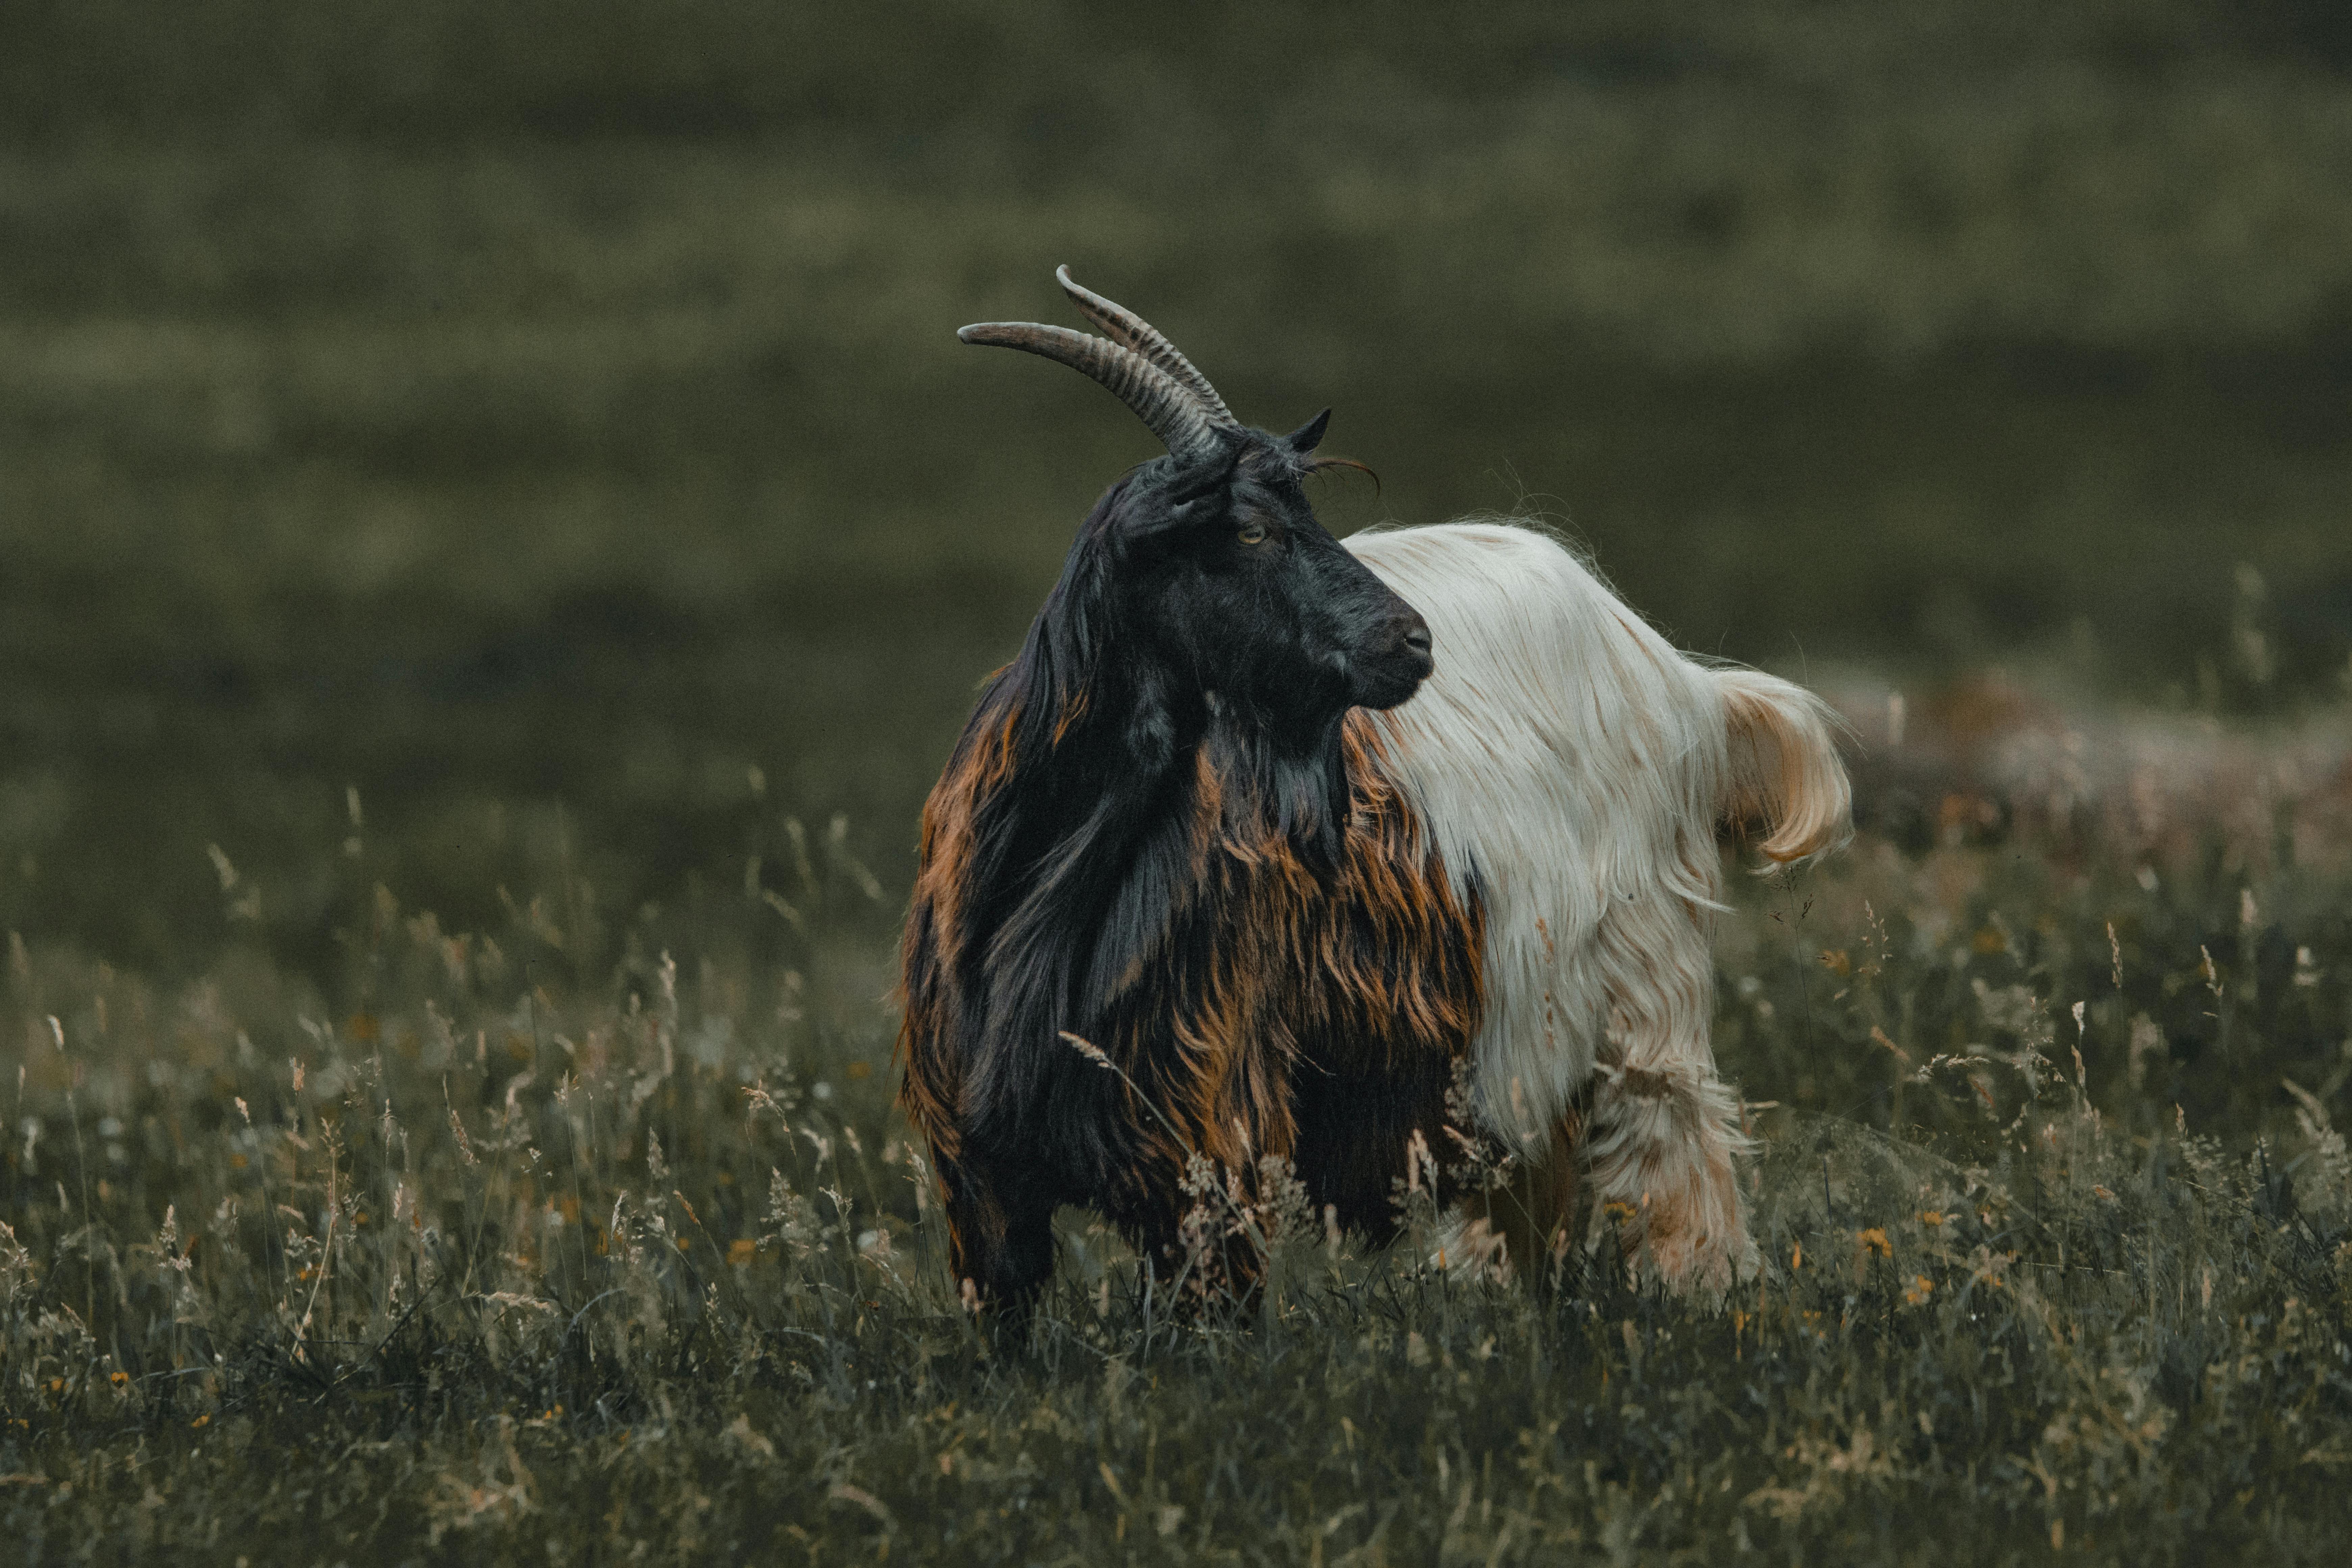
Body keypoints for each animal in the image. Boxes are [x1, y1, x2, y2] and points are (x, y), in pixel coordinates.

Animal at [898, 269, 1850, 1319]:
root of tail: (1673, 675)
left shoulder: (1209, 1141)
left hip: (1639, 979)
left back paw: (1702, 1298)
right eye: (1251, 528)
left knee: (1669, 1144)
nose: (1414, 641)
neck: (1049, 879)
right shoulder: (983, 1182)